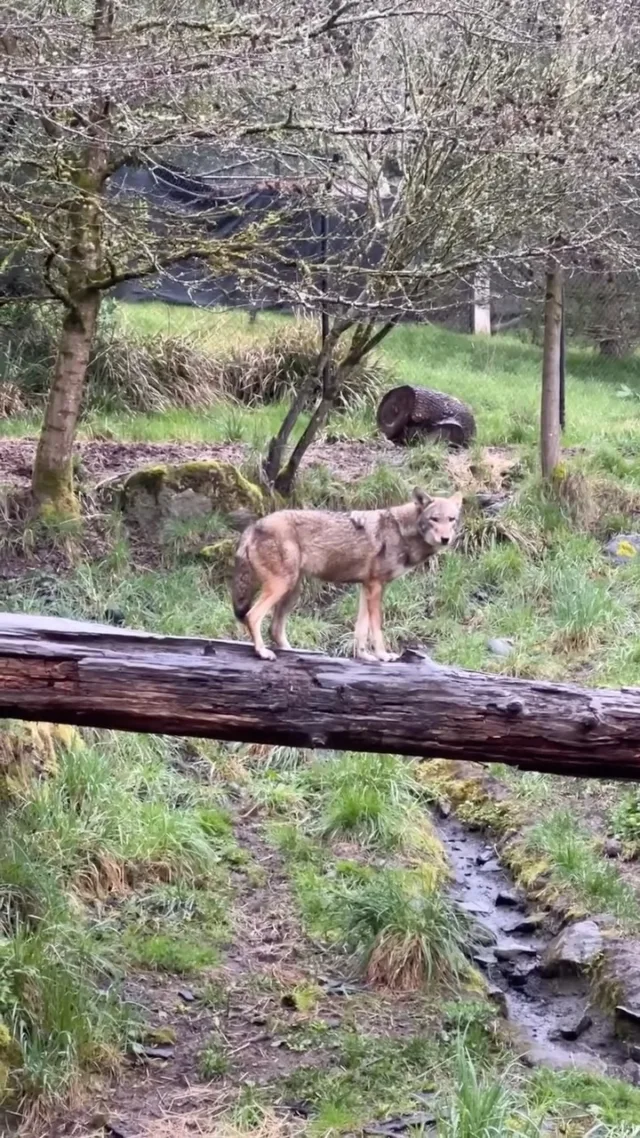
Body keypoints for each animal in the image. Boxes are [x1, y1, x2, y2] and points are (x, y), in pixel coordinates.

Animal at [231, 488, 462, 662]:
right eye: (434, 519)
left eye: (451, 519)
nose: (446, 539)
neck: (401, 531)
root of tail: (253, 526)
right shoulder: (376, 586)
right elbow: (376, 628)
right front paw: (383, 655)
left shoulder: (366, 587)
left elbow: (361, 629)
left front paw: (365, 657)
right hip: (282, 586)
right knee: (252, 616)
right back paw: (262, 652)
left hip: (292, 591)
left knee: (275, 629)